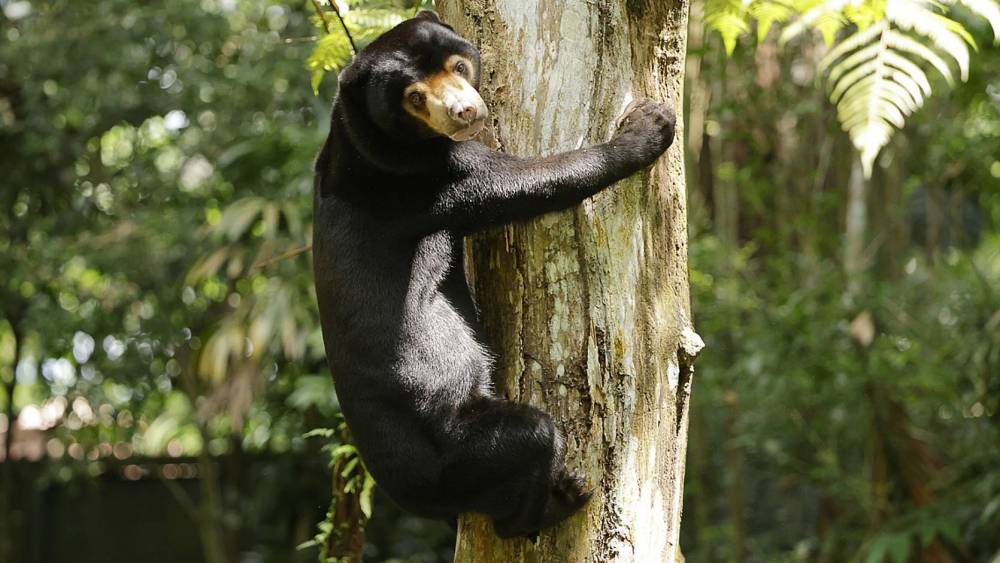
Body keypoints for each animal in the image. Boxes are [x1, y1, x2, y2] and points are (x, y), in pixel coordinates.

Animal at [312, 10, 675, 538]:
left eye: (459, 67)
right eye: (413, 97)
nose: (465, 112)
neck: (359, 136)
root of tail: (411, 497)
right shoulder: (428, 180)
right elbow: (535, 179)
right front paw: (651, 126)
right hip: (462, 454)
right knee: (533, 441)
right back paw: (560, 500)